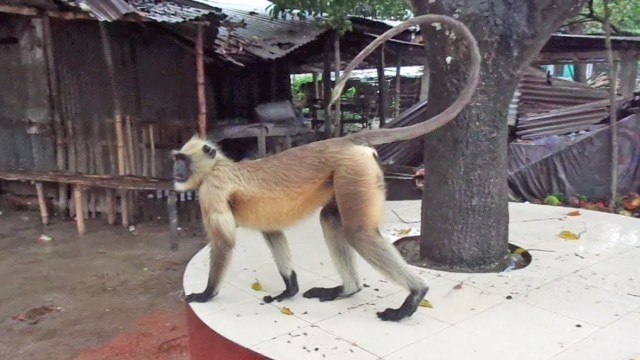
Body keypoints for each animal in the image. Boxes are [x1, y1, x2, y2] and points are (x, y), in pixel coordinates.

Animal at [171, 14, 480, 322]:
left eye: (182, 161)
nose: (176, 172)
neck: (218, 166)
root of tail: (343, 140)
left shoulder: (211, 189)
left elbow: (224, 242)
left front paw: (206, 294)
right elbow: (272, 231)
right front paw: (289, 288)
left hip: (354, 171)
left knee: (358, 232)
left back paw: (415, 295)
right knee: (330, 219)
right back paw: (348, 289)